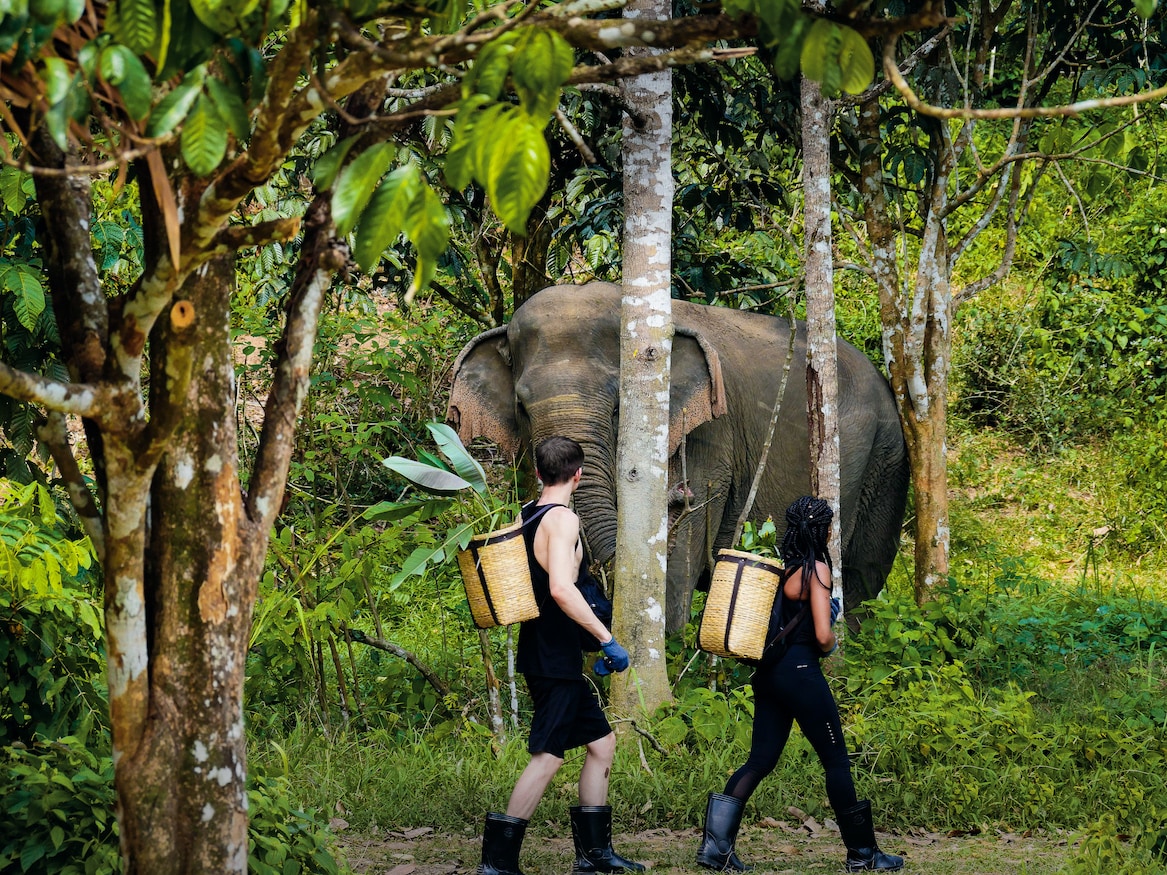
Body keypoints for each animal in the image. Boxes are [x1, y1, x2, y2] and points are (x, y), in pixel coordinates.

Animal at [447, 282, 909, 633]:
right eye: (522, 408)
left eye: (619, 407)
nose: (680, 495)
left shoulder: (706, 439)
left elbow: (673, 571)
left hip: (884, 455)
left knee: (862, 575)